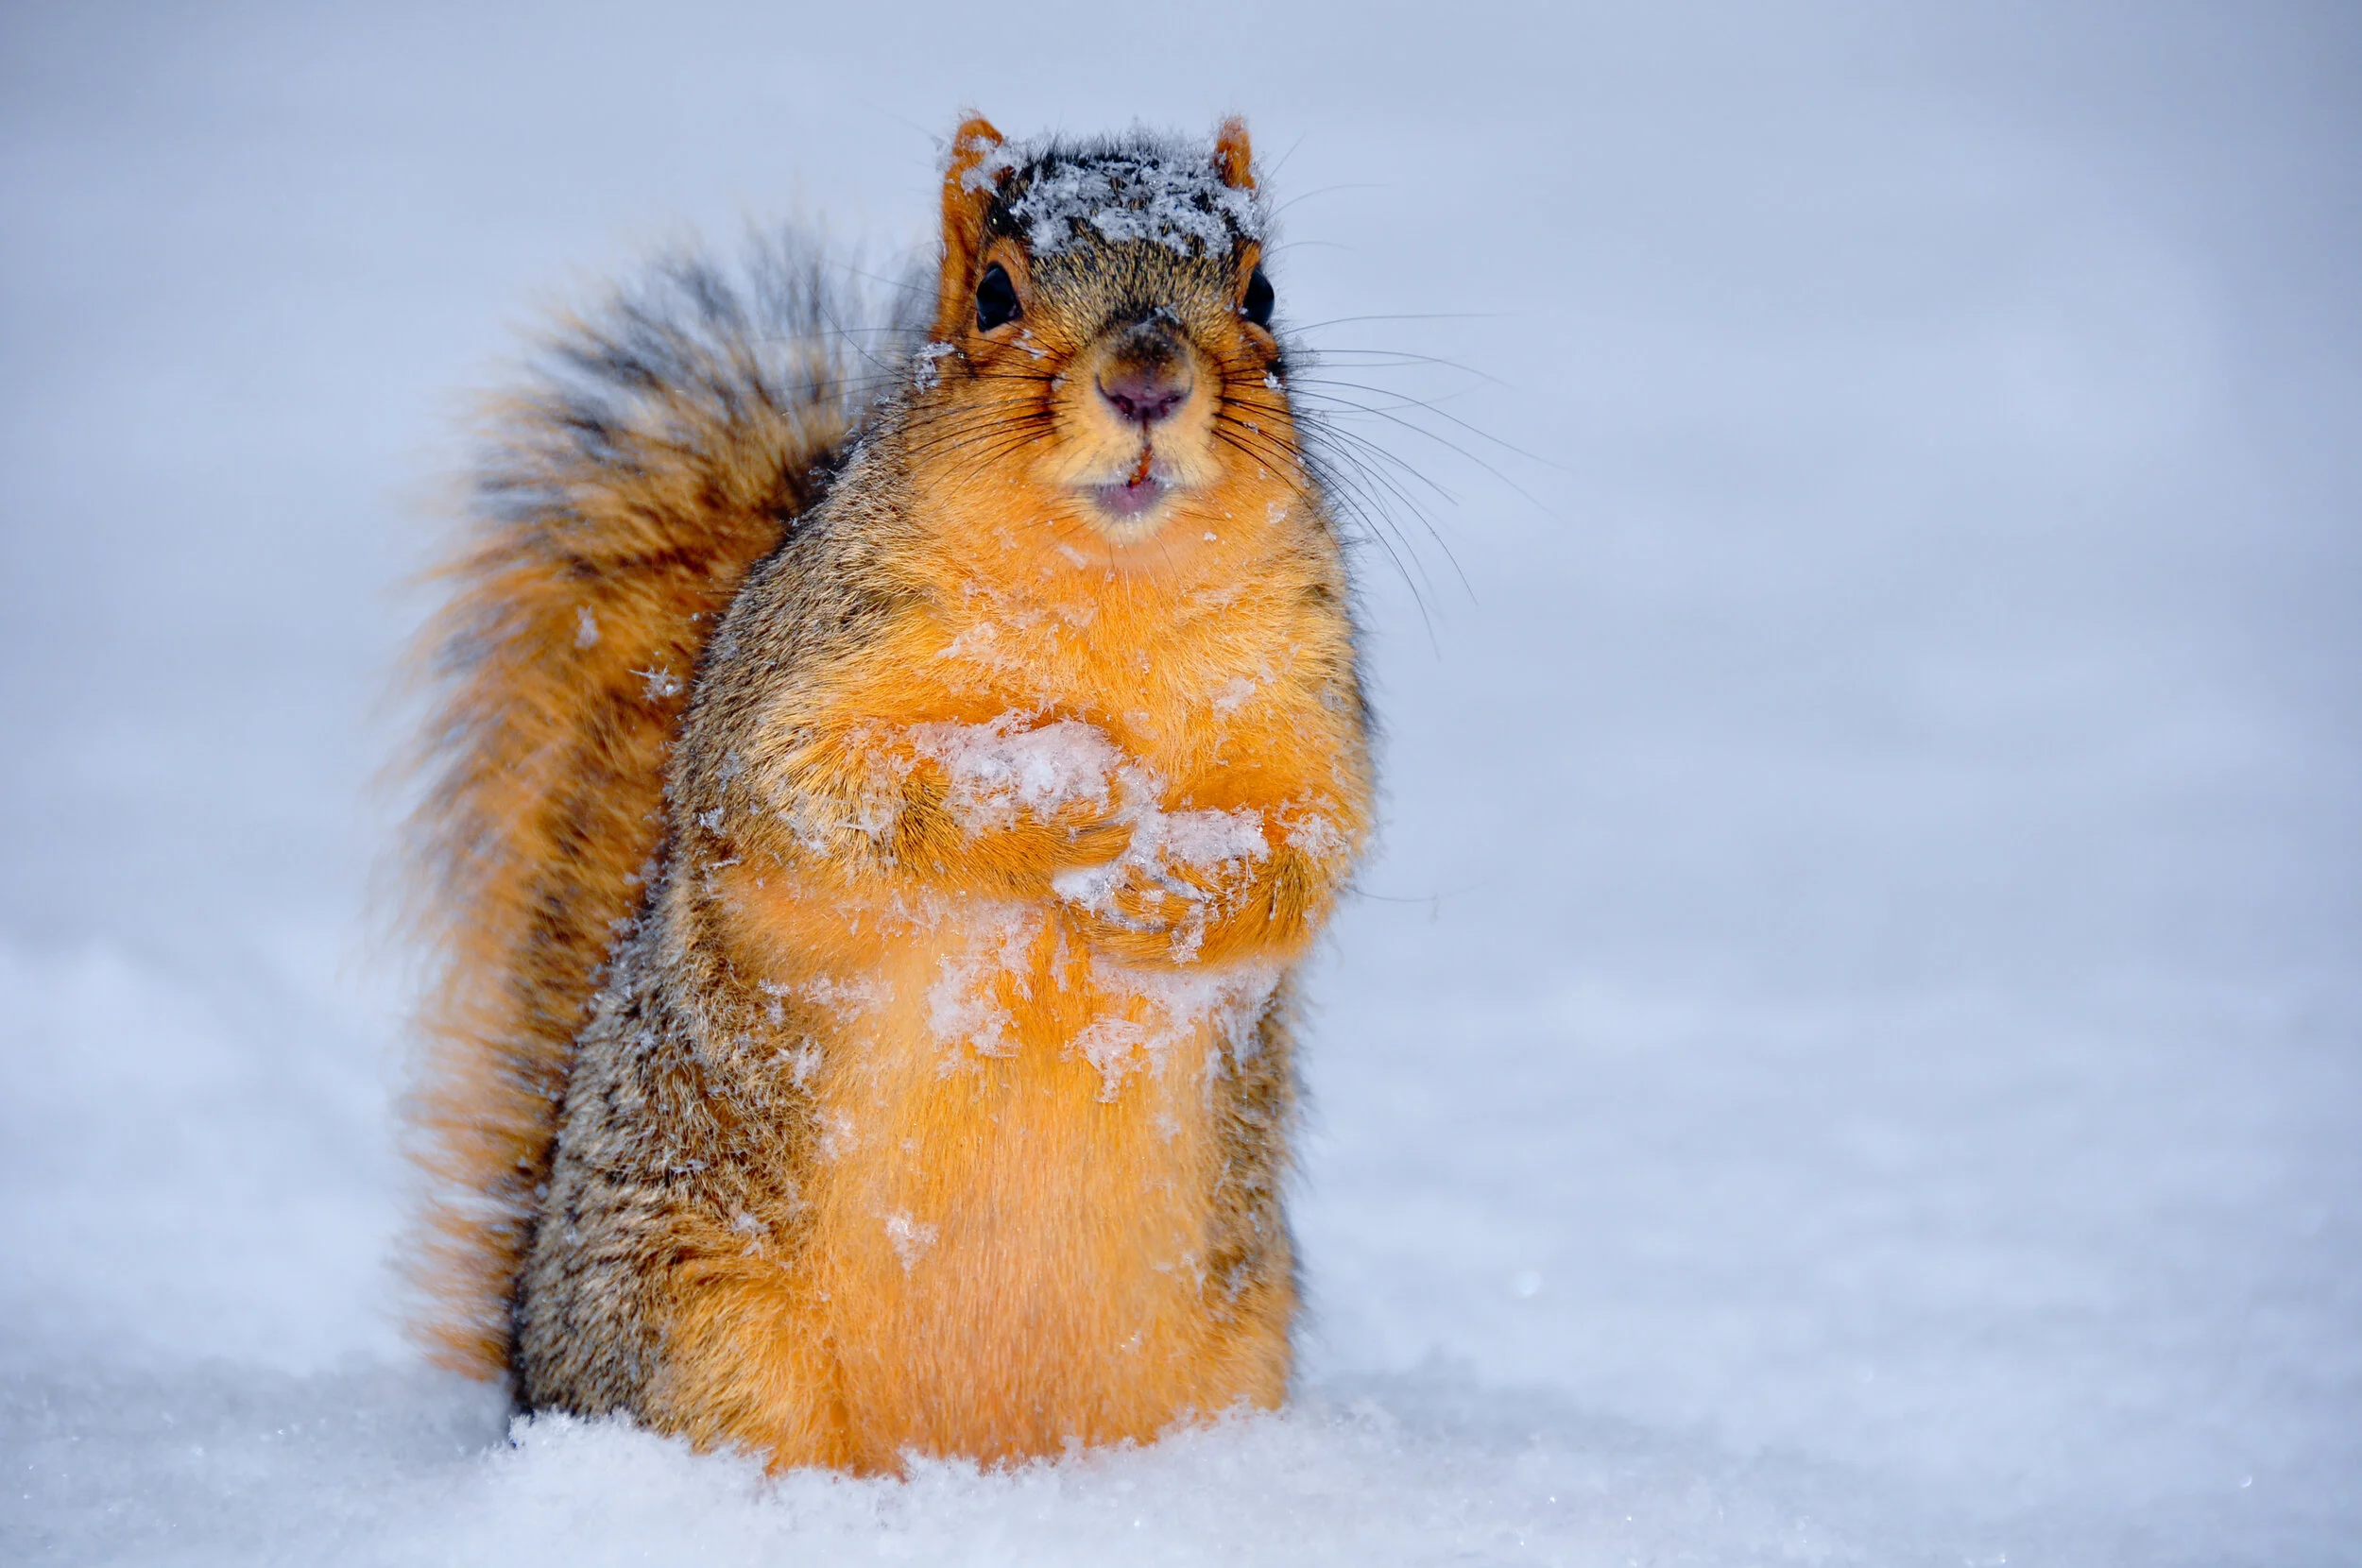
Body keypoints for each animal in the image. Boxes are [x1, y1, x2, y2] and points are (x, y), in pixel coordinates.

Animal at [404, 115, 1374, 1473]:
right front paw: (1053, 792)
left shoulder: (1308, 708)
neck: (1106, 597)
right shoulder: (793, 683)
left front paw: (1173, 885)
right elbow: (809, 797)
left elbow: (1307, 854)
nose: (1146, 383)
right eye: (993, 294)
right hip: (704, 1339)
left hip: (1227, 1354)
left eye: (1262, 291)